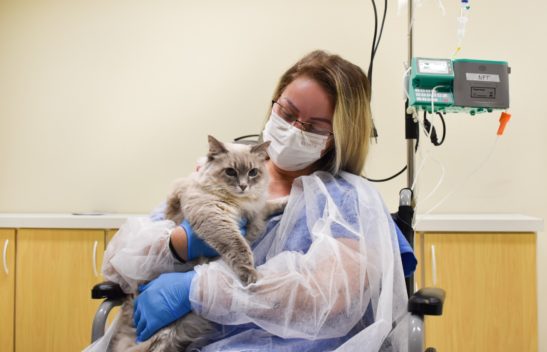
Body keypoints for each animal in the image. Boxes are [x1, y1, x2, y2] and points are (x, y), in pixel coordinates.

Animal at [107, 135, 286, 352]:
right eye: (231, 172)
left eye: (253, 173)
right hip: (161, 336)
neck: (239, 202)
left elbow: (270, 205)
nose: (244, 186)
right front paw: (251, 276)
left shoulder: (256, 211)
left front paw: (287, 200)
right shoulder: (215, 218)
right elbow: (239, 247)